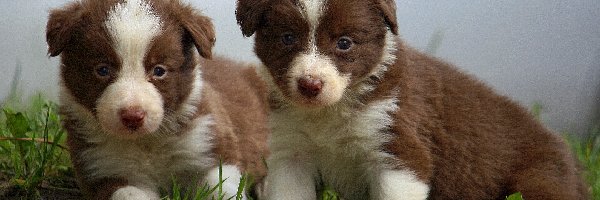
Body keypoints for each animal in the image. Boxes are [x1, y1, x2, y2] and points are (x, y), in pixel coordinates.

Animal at [47, 0, 270, 200]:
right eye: (102, 70)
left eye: (159, 71)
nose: (133, 116)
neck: (149, 140)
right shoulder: (102, 169)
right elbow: (128, 193)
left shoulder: (211, 143)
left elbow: (220, 184)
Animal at [236, 0, 584, 200]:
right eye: (287, 38)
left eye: (345, 42)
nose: (309, 85)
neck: (333, 111)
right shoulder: (292, 153)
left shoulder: (400, 150)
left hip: (538, 179)